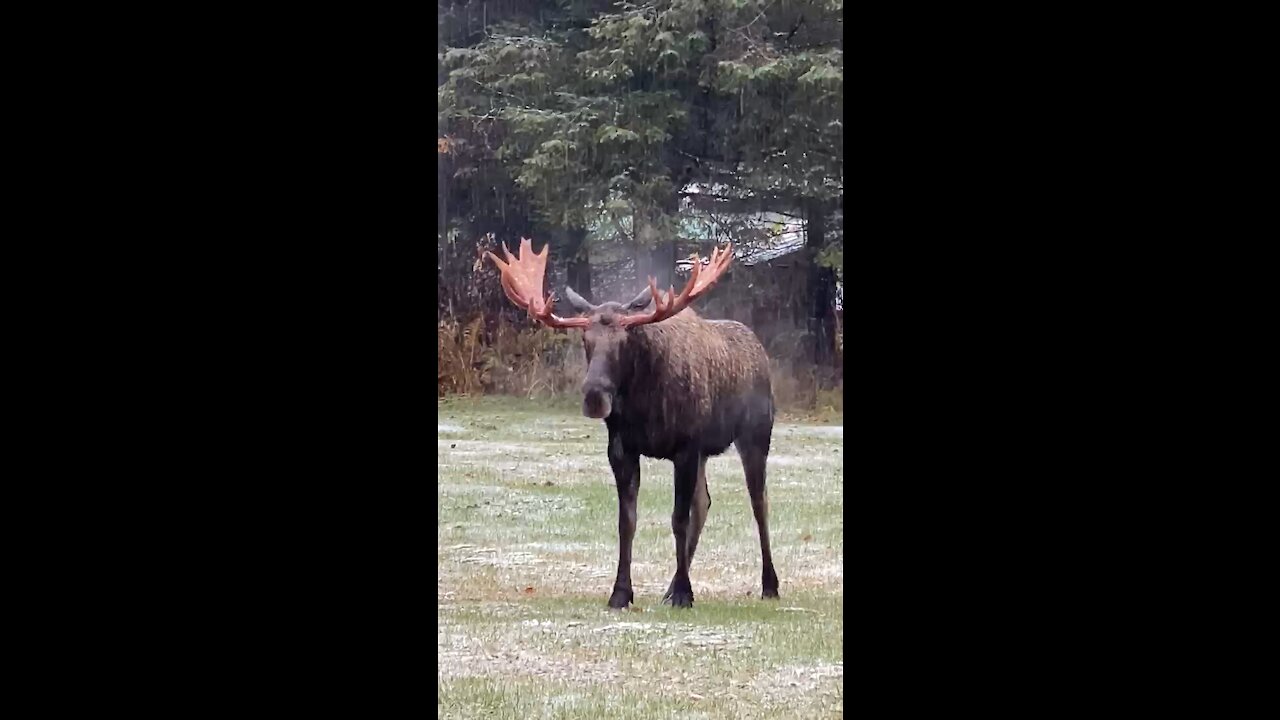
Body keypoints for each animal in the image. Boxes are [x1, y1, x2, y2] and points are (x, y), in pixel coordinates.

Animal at [486, 237, 778, 604]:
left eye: (625, 339)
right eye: (586, 339)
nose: (594, 396)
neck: (644, 406)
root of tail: (761, 350)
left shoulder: (686, 447)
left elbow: (677, 519)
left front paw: (684, 594)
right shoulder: (623, 449)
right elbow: (627, 522)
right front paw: (622, 593)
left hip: (755, 436)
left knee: (759, 503)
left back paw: (769, 584)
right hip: (706, 454)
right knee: (705, 503)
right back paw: (671, 585)